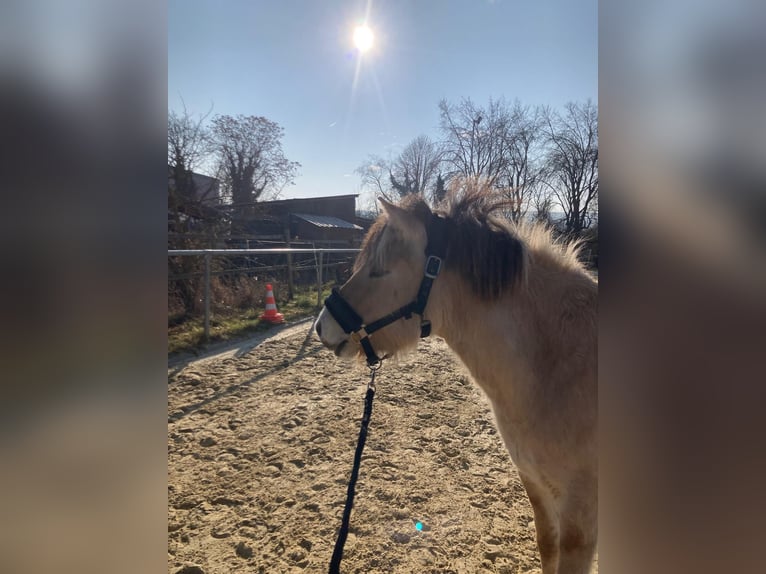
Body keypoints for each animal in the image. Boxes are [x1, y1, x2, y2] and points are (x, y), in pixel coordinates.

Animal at [314, 186, 600, 574]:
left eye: (379, 270)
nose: (322, 327)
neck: (557, 366)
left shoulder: (580, 512)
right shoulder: (537, 487)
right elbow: (546, 545)